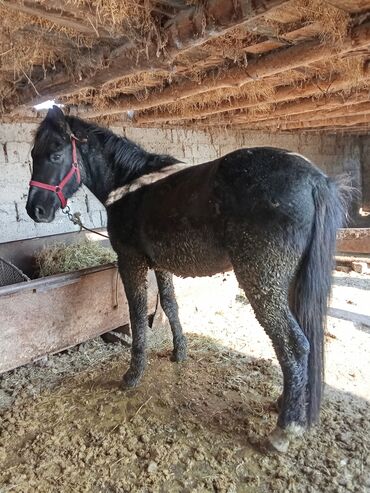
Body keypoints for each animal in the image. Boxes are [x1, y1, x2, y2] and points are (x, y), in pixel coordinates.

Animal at [26, 105, 350, 452]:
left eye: (56, 153)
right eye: (33, 154)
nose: (35, 210)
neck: (130, 185)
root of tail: (315, 179)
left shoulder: (131, 261)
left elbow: (137, 316)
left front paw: (133, 374)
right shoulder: (160, 264)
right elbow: (170, 305)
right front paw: (179, 353)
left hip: (263, 281)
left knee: (294, 344)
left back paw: (286, 428)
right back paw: (288, 404)